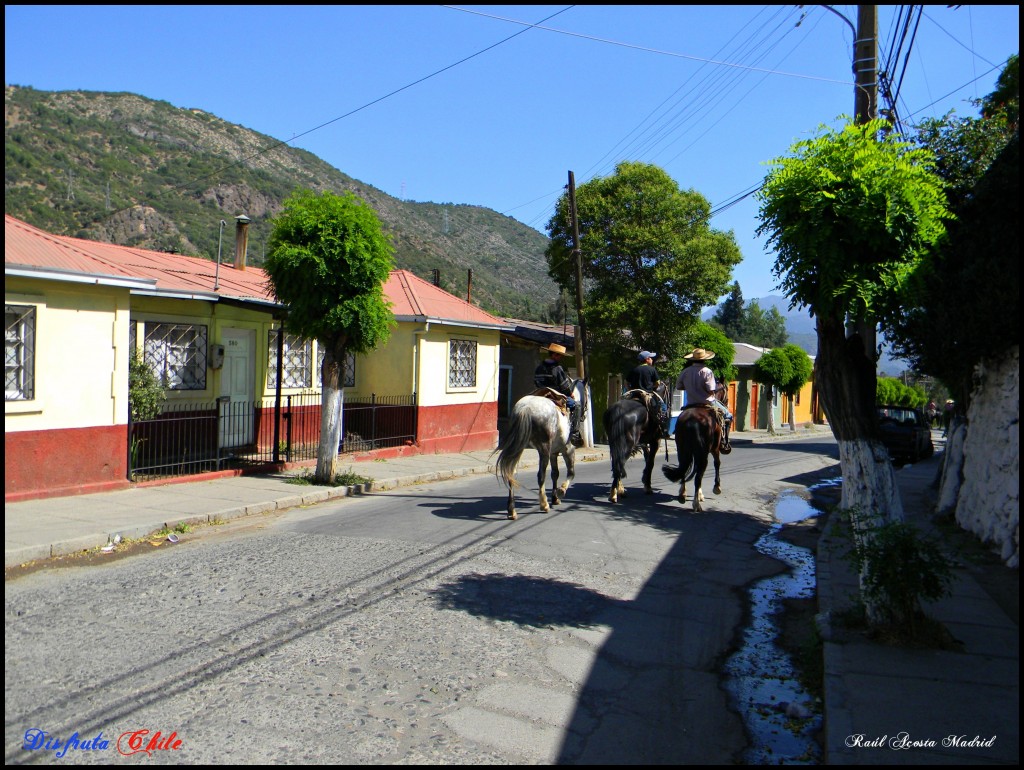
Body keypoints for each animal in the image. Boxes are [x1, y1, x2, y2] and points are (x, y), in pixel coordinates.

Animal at [495, 382, 585, 520]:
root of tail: (525, 408)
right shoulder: (568, 449)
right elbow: (571, 473)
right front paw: (561, 491)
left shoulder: (553, 452)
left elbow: (555, 474)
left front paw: (555, 498)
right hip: (544, 449)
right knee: (541, 475)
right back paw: (544, 504)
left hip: (519, 447)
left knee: (511, 473)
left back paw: (512, 511)